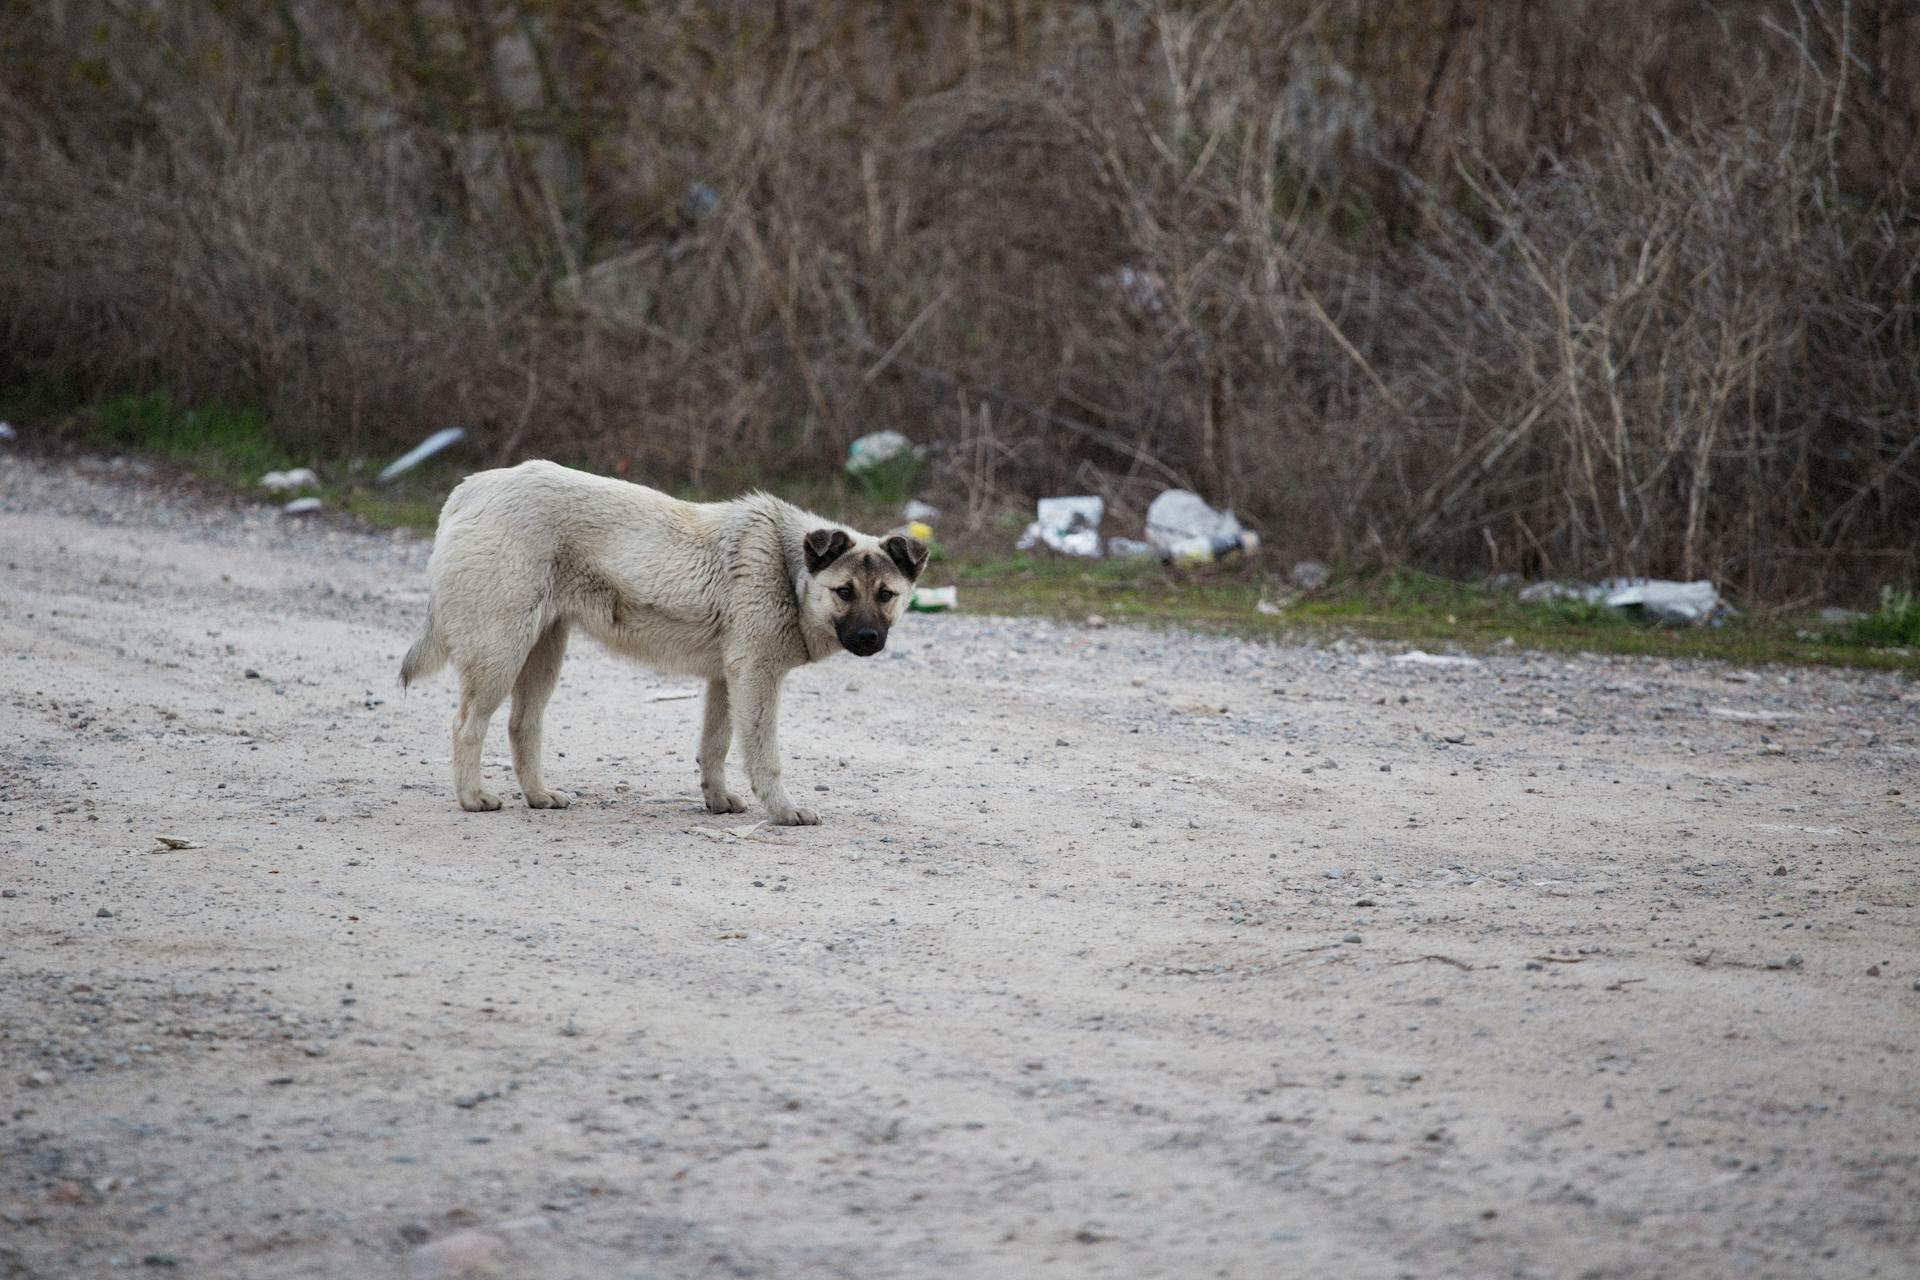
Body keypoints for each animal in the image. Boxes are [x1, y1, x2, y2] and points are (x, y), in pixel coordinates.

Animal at [397, 458, 921, 821]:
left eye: (886, 595)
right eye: (844, 592)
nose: (870, 638)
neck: (788, 571)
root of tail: (470, 490)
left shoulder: (726, 682)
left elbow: (715, 747)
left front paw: (717, 801)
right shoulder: (756, 679)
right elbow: (763, 757)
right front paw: (783, 811)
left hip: (542, 654)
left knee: (521, 726)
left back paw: (539, 797)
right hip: (500, 656)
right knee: (466, 726)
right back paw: (472, 798)